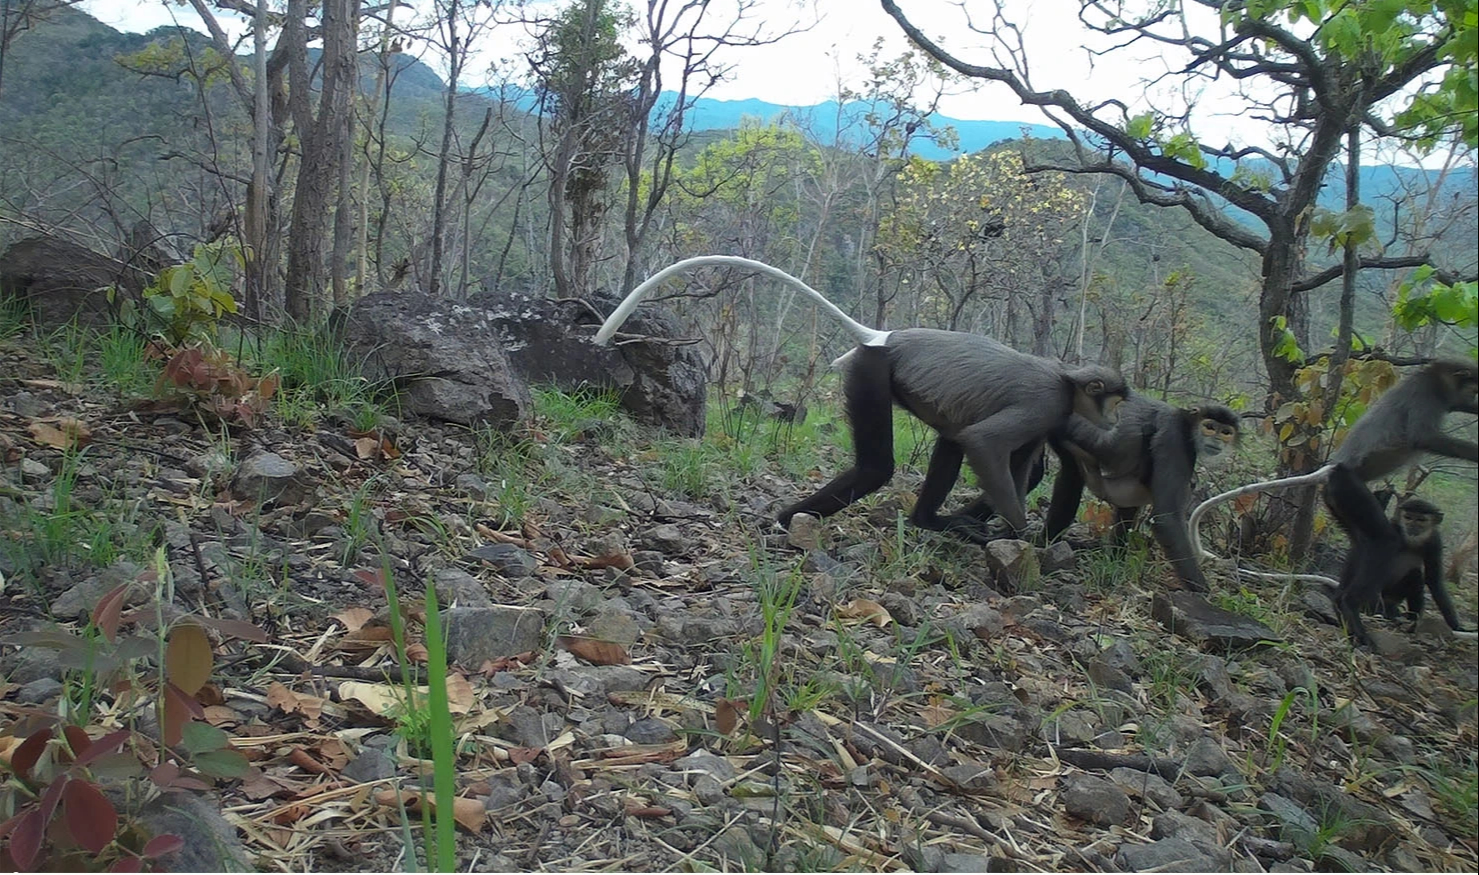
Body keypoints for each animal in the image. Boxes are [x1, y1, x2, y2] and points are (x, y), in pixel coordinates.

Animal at [594, 254, 1124, 540]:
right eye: (1114, 400)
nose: (1117, 422)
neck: (1067, 381)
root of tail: (885, 337)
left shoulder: (1046, 418)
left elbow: (1018, 465)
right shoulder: (1045, 403)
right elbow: (988, 444)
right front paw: (1019, 532)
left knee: (951, 438)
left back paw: (927, 521)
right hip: (870, 371)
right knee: (879, 467)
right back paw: (789, 520)